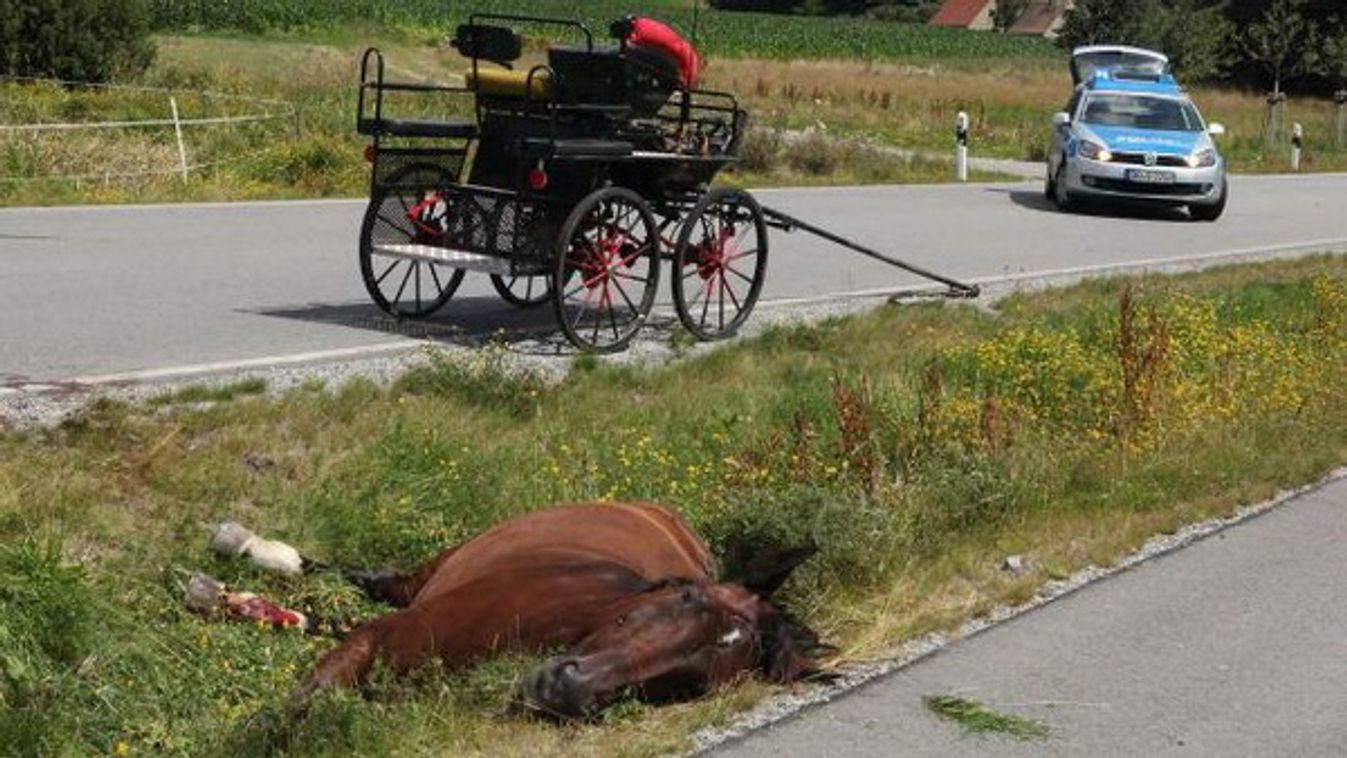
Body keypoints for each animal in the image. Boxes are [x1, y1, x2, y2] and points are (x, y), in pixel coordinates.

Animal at [297, 500, 818, 721]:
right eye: (689, 598)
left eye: (694, 684)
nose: (563, 690)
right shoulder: (380, 635)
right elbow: (302, 707)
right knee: (385, 582)